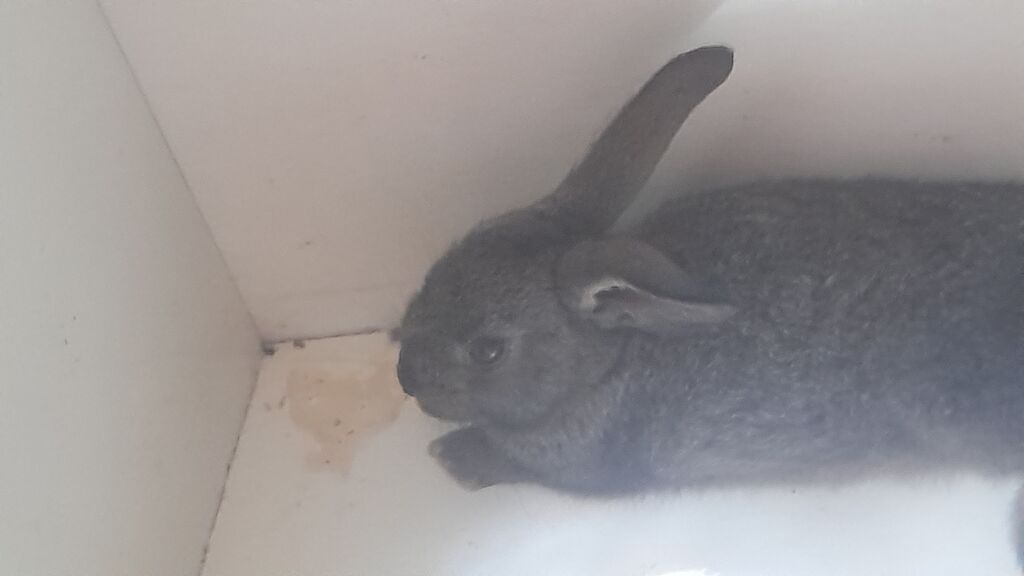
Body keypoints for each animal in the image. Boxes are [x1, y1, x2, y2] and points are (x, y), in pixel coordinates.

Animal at [395, 44, 1024, 553]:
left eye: (488, 350)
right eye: (436, 274)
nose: (405, 377)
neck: (611, 357)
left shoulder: (581, 463)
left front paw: (454, 458)